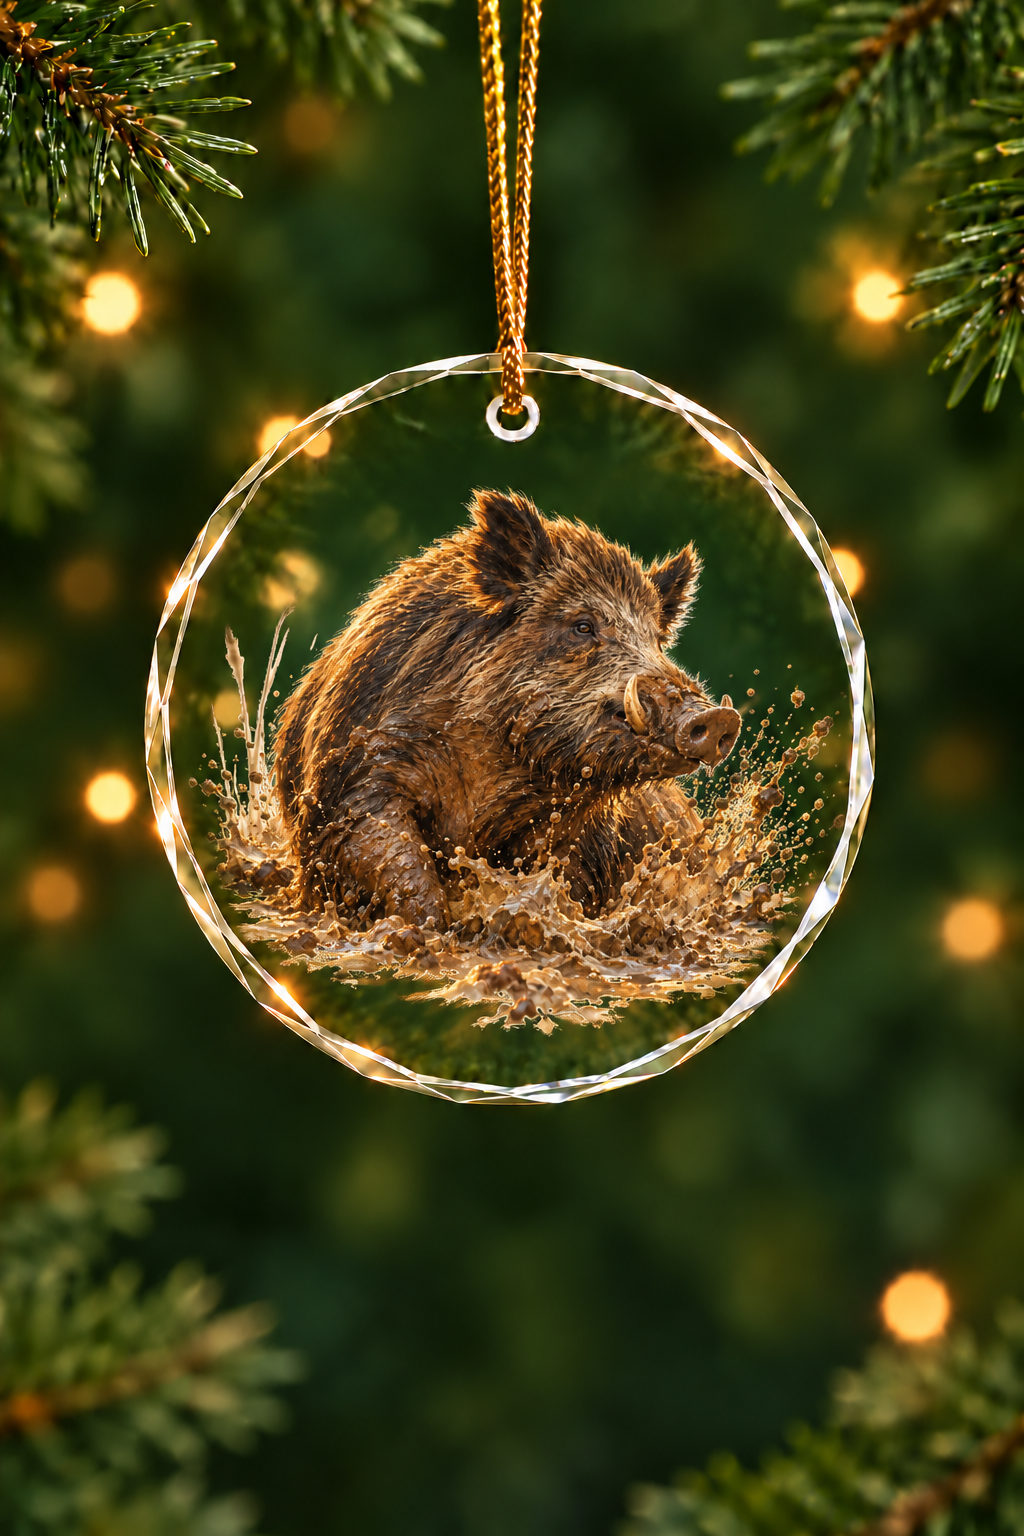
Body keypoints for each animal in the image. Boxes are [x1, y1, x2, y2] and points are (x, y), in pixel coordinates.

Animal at [273, 489, 741, 929]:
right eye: (583, 626)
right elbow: (392, 855)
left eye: (656, 640)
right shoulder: (356, 773)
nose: (718, 717)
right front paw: (434, 927)